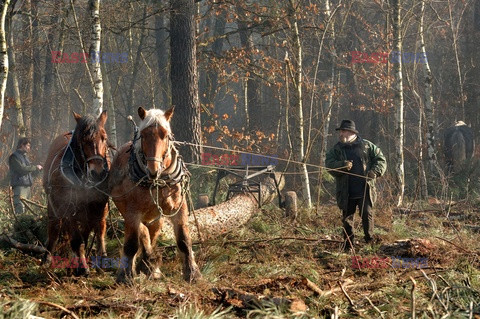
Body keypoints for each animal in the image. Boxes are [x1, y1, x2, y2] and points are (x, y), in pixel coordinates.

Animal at [42, 112, 110, 276]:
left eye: (104, 138)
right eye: (83, 141)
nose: (98, 172)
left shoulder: (98, 207)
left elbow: (95, 232)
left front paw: (100, 260)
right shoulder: (68, 209)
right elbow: (77, 240)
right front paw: (82, 267)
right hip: (53, 206)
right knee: (54, 229)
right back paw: (47, 258)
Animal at [109, 108, 202, 284]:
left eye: (165, 135)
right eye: (144, 135)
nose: (153, 170)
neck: (157, 182)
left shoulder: (179, 207)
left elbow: (184, 240)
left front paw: (192, 273)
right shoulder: (132, 212)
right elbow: (132, 243)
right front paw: (125, 276)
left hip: (156, 216)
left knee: (151, 232)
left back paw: (150, 266)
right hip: (127, 210)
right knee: (143, 232)